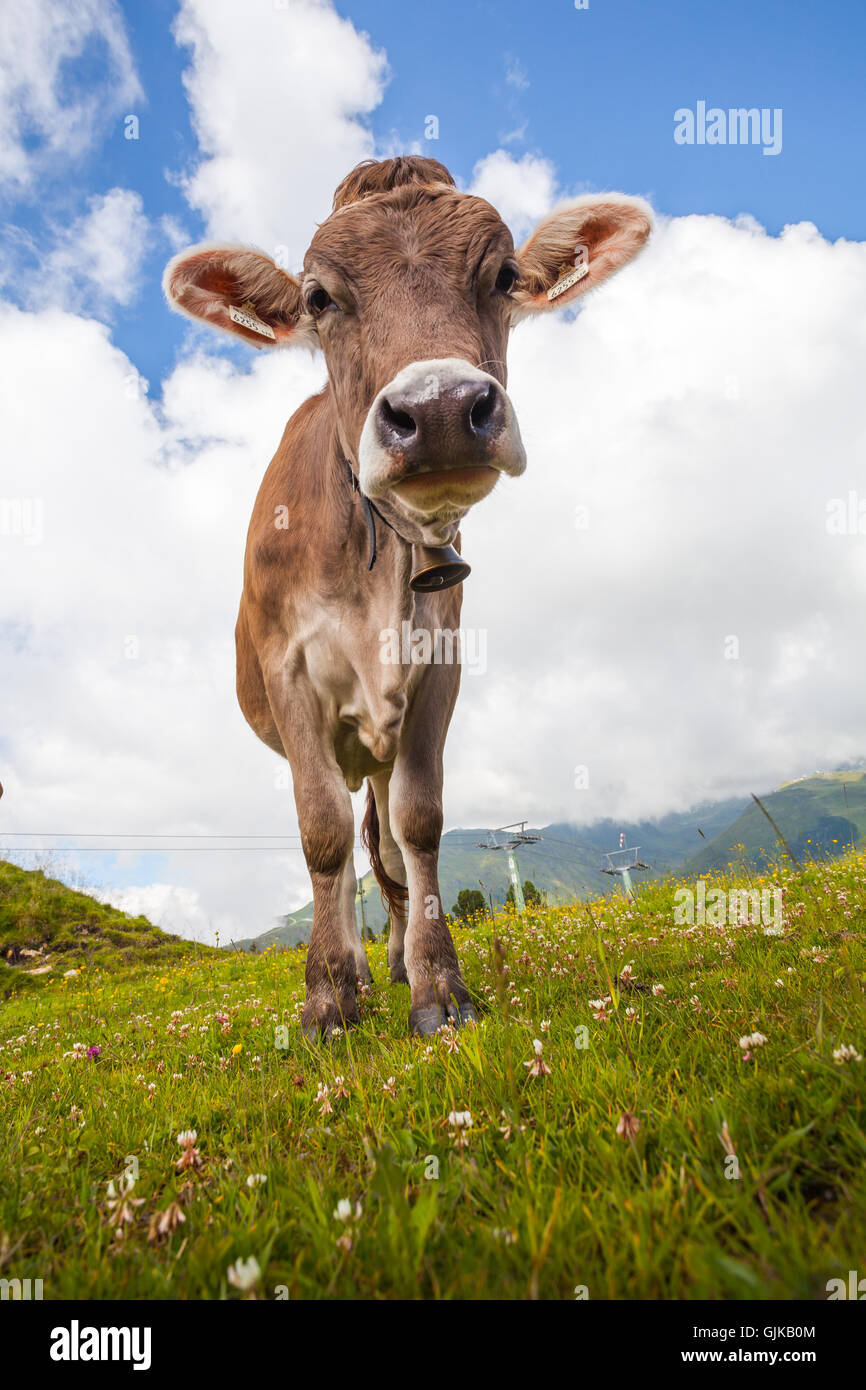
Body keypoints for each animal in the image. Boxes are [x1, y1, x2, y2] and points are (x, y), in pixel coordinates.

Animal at [164, 156, 651, 1038]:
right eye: (319, 298)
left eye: (504, 277)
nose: (441, 410)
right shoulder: (289, 673)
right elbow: (322, 834)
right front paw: (327, 998)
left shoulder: (439, 669)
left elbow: (418, 825)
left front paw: (437, 987)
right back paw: (357, 969)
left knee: (386, 847)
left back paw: (390, 959)